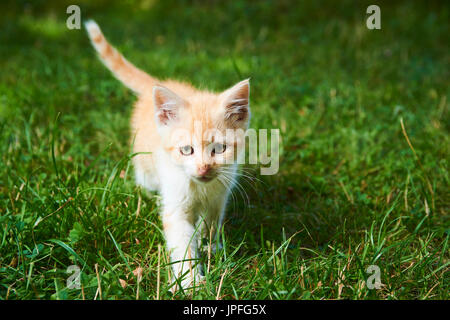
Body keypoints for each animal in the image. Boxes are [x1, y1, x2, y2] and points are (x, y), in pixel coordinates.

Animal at [85, 20, 250, 290]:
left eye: (219, 149)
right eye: (186, 150)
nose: (204, 168)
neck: (200, 188)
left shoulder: (219, 196)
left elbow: (211, 223)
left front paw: (211, 247)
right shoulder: (176, 204)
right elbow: (182, 242)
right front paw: (191, 280)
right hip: (145, 166)